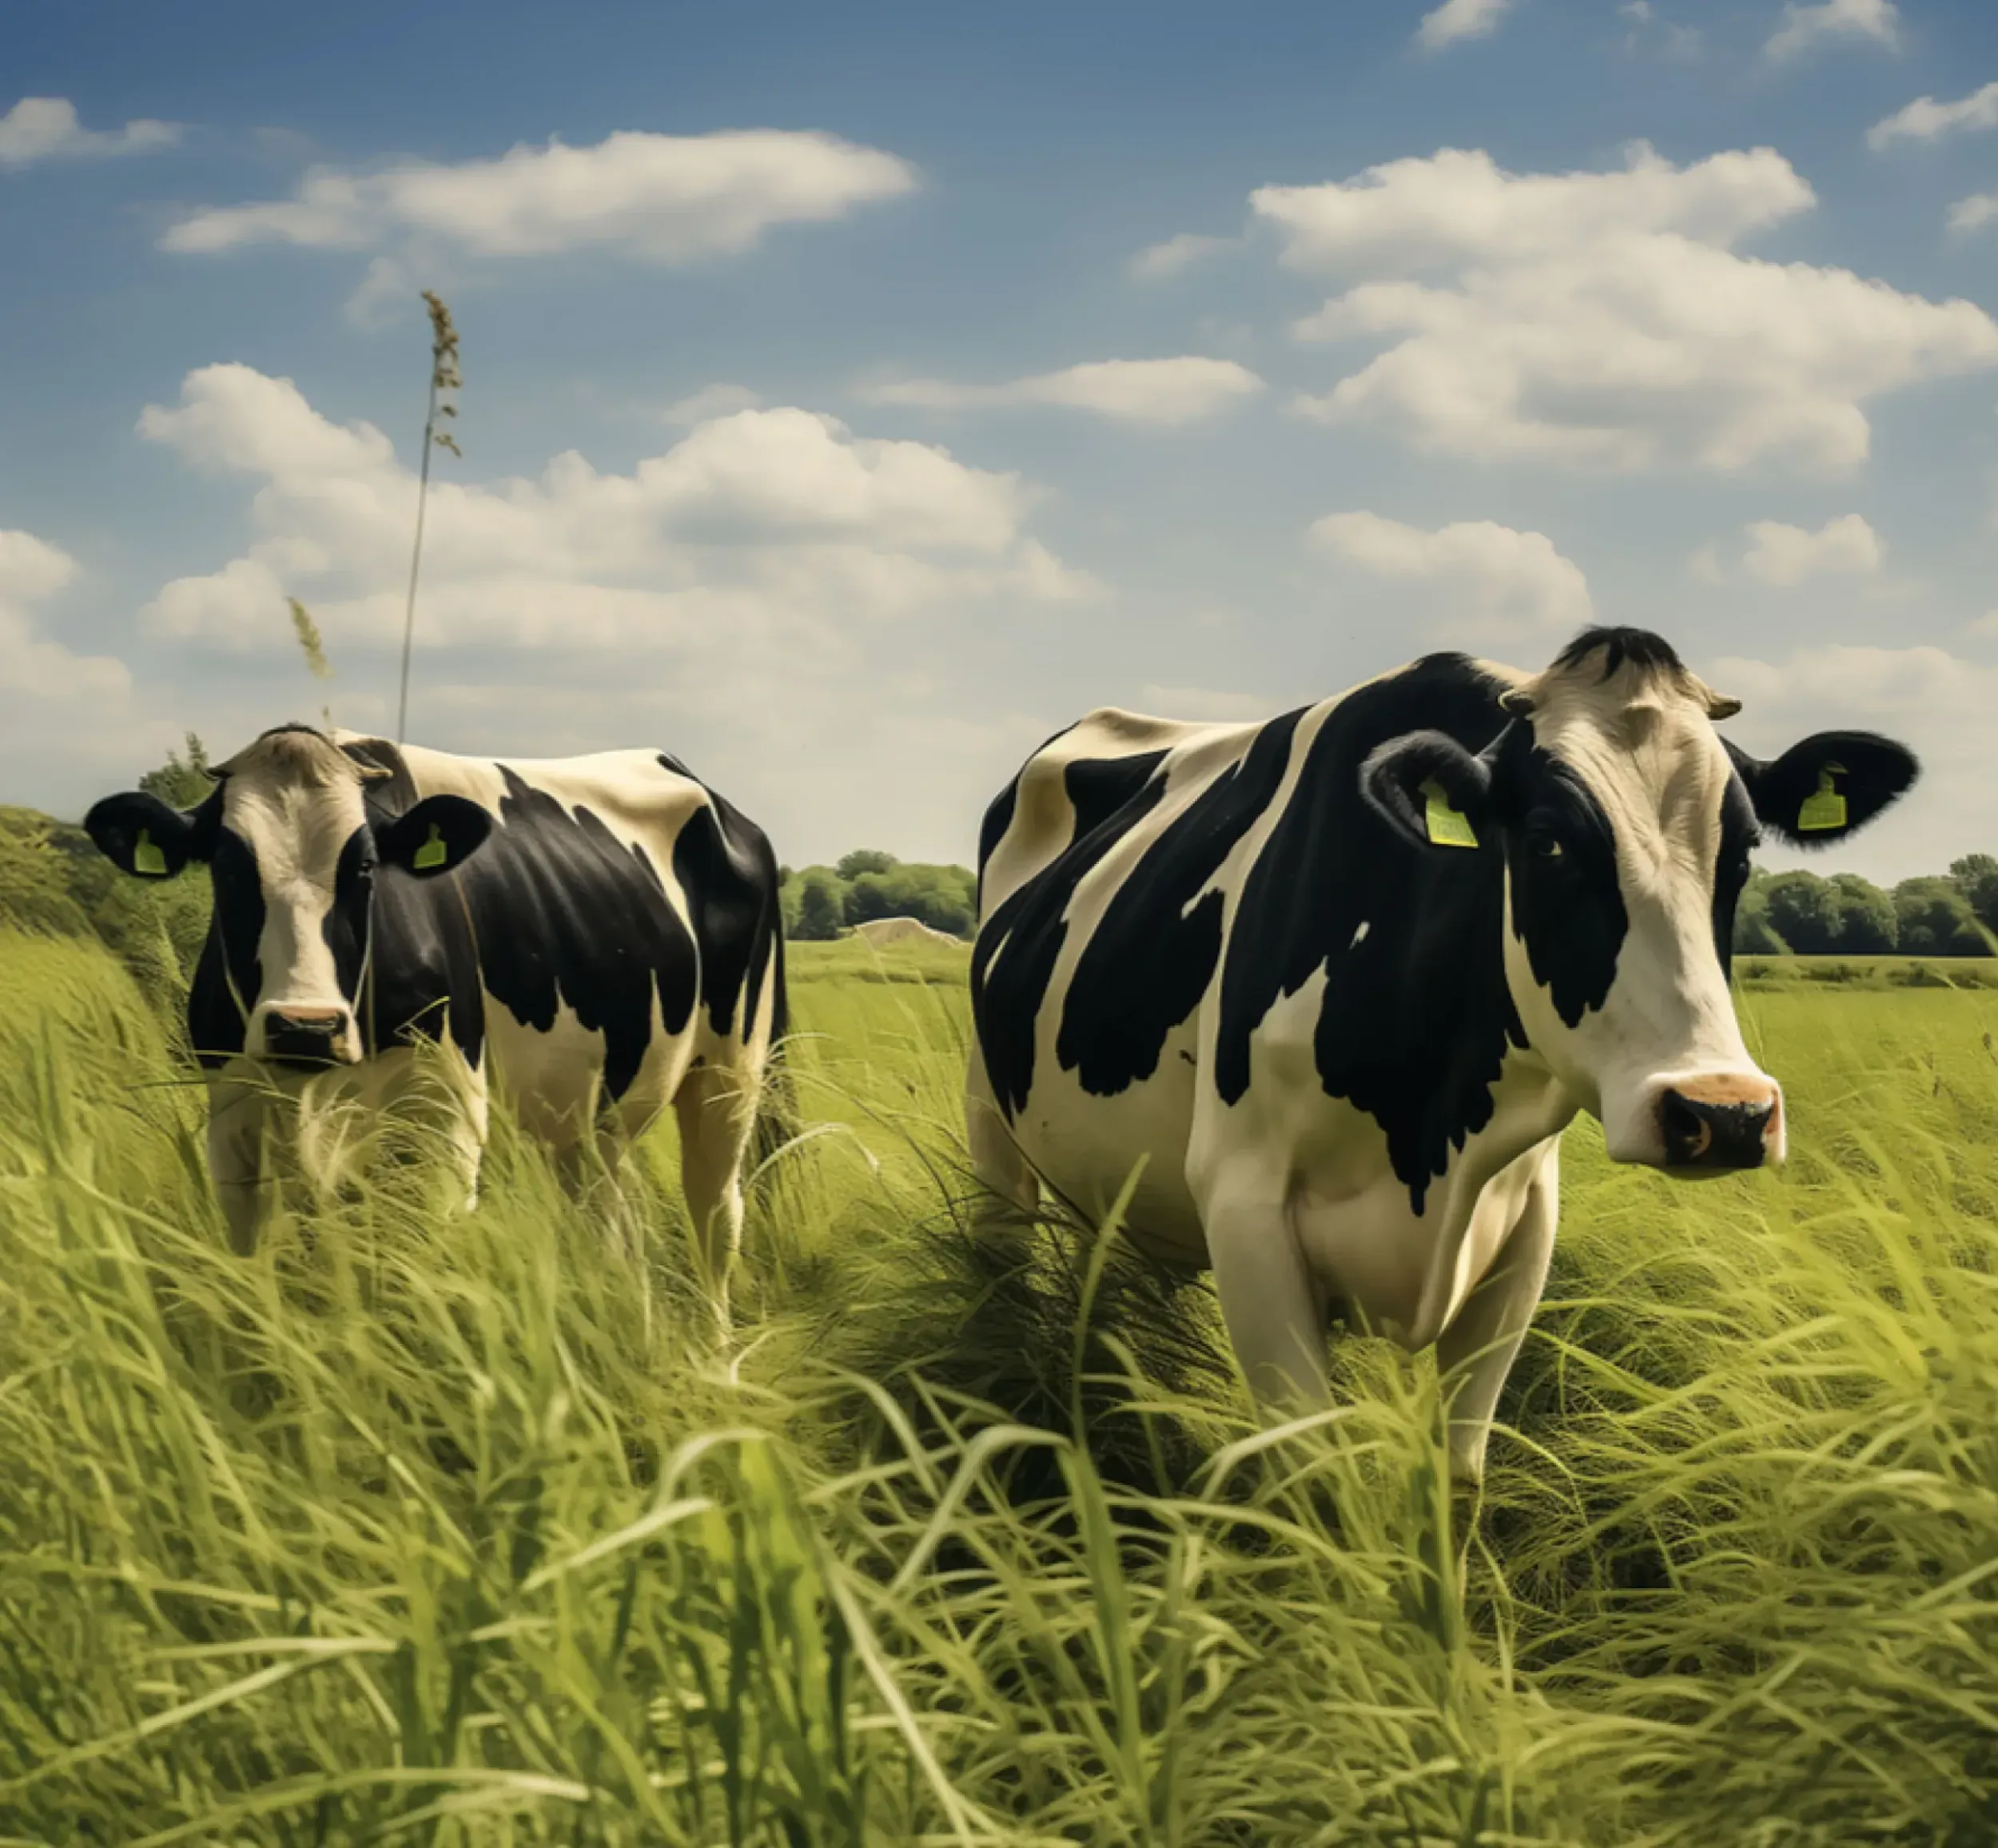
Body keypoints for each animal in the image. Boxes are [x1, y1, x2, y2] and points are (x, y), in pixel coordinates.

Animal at [83, 725, 788, 1312]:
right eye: (229, 867)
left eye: (366, 866)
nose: (306, 1026)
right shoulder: (234, 1123)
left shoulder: (444, 1122)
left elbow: (412, 1281)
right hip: (591, 1119)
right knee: (615, 1223)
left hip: (733, 1070)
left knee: (715, 1218)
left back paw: (716, 1363)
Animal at [965, 627, 1919, 1484]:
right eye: (1547, 840)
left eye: (1744, 850)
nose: (1724, 1112)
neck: (1427, 1130)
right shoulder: (1243, 1205)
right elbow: (1315, 1486)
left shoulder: (1523, 1223)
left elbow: (1458, 1476)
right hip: (991, 1132)